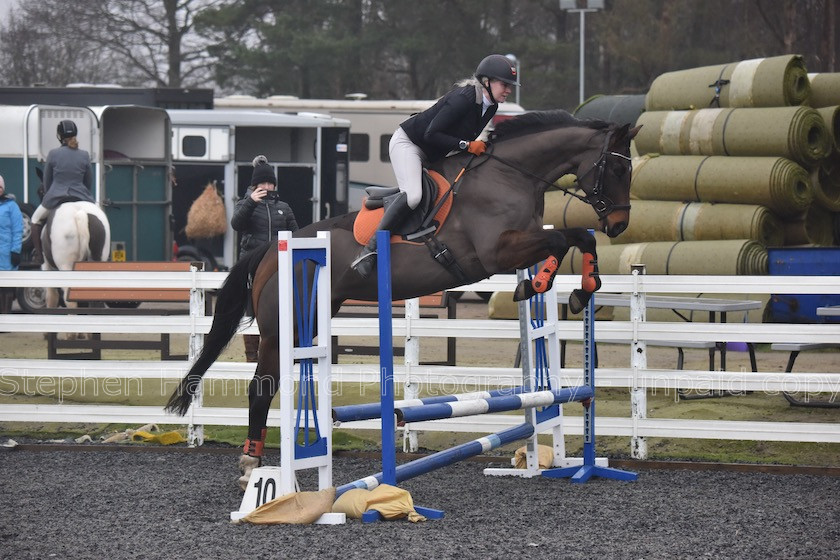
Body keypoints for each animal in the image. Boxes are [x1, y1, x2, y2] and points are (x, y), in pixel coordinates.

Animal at [162, 109, 636, 486]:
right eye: (616, 170)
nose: (618, 224)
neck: (509, 174)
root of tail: (270, 250)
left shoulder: (520, 243)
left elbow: (575, 240)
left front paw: (577, 291)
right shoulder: (496, 252)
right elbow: (561, 239)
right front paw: (538, 286)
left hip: (308, 321)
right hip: (282, 328)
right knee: (261, 388)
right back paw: (251, 465)